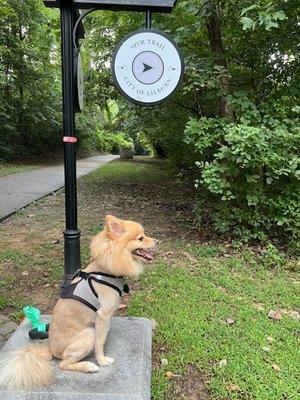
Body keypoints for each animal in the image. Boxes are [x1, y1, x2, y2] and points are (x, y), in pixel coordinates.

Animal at [0, 217, 157, 390]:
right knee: (63, 363)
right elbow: (100, 342)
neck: (107, 270)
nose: (157, 241)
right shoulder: (102, 316)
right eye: (140, 238)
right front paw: (102, 360)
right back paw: (88, 366)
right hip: (88, 334)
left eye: (144, 235)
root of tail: (50, 349)